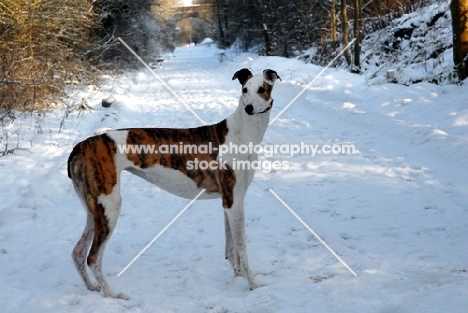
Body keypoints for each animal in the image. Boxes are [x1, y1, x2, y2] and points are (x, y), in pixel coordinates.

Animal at [68, 67, 280, 298]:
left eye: (262, 90)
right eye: (244, 90)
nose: (249, 108)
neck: (242, 133)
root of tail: (81, 146)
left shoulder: (230, 201)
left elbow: (231, 248)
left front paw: (238, 277)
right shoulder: (233, 202)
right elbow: (241, 247)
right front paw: (253, 284)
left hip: (94, 209)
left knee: (78, 252)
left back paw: (92, 287)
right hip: (109, 207)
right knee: (93, 258)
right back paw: (112, 295)